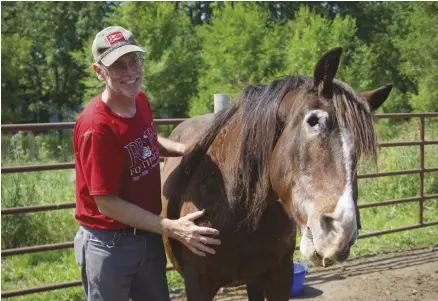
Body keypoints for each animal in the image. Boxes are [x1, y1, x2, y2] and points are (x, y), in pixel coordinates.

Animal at [160, 48, 390, 298]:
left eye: (359, 148)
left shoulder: (279, 276)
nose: (342, 232)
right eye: (313, 121)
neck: (234, 207)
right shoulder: (198, 284)